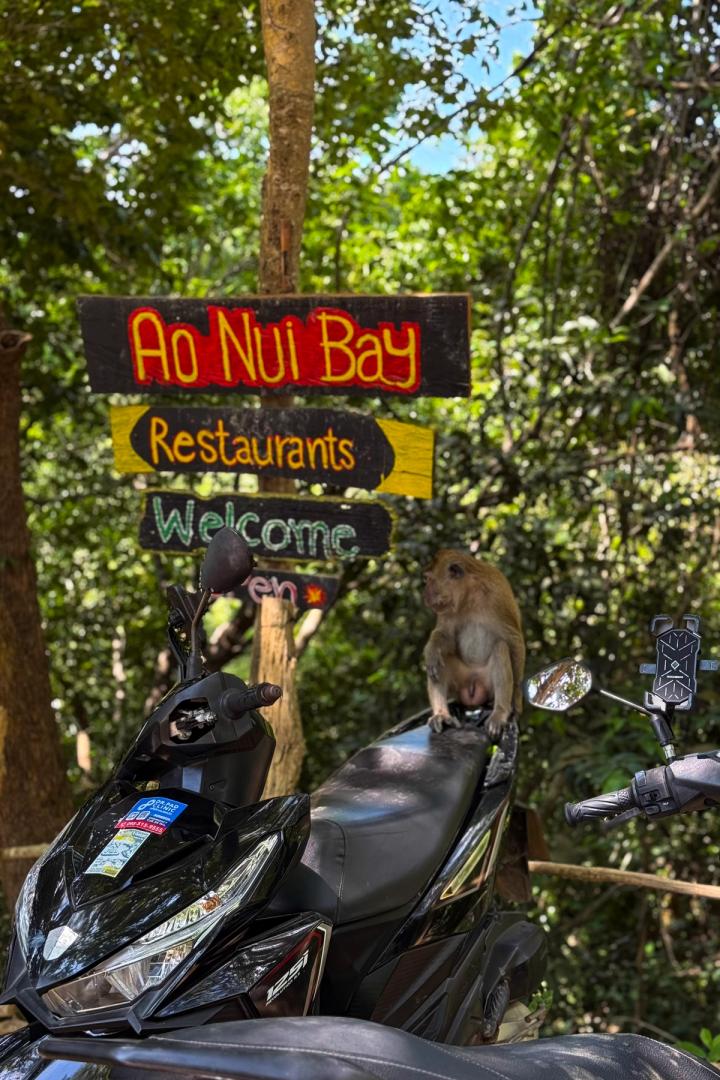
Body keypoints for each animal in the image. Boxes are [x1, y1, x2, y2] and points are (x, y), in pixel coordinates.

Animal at [423, 549, 525, 738]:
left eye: (428, 580)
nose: (424, 594)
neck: (470, 594)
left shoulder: (497, 596)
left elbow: (514, 640)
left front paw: (515, 704)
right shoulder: (447, 607)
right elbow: (445, 636)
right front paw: (431, 649)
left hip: (487, 684)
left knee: (500, 647)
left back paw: (499, 712)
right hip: (459, 682)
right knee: (442, 660)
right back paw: (441, 715)